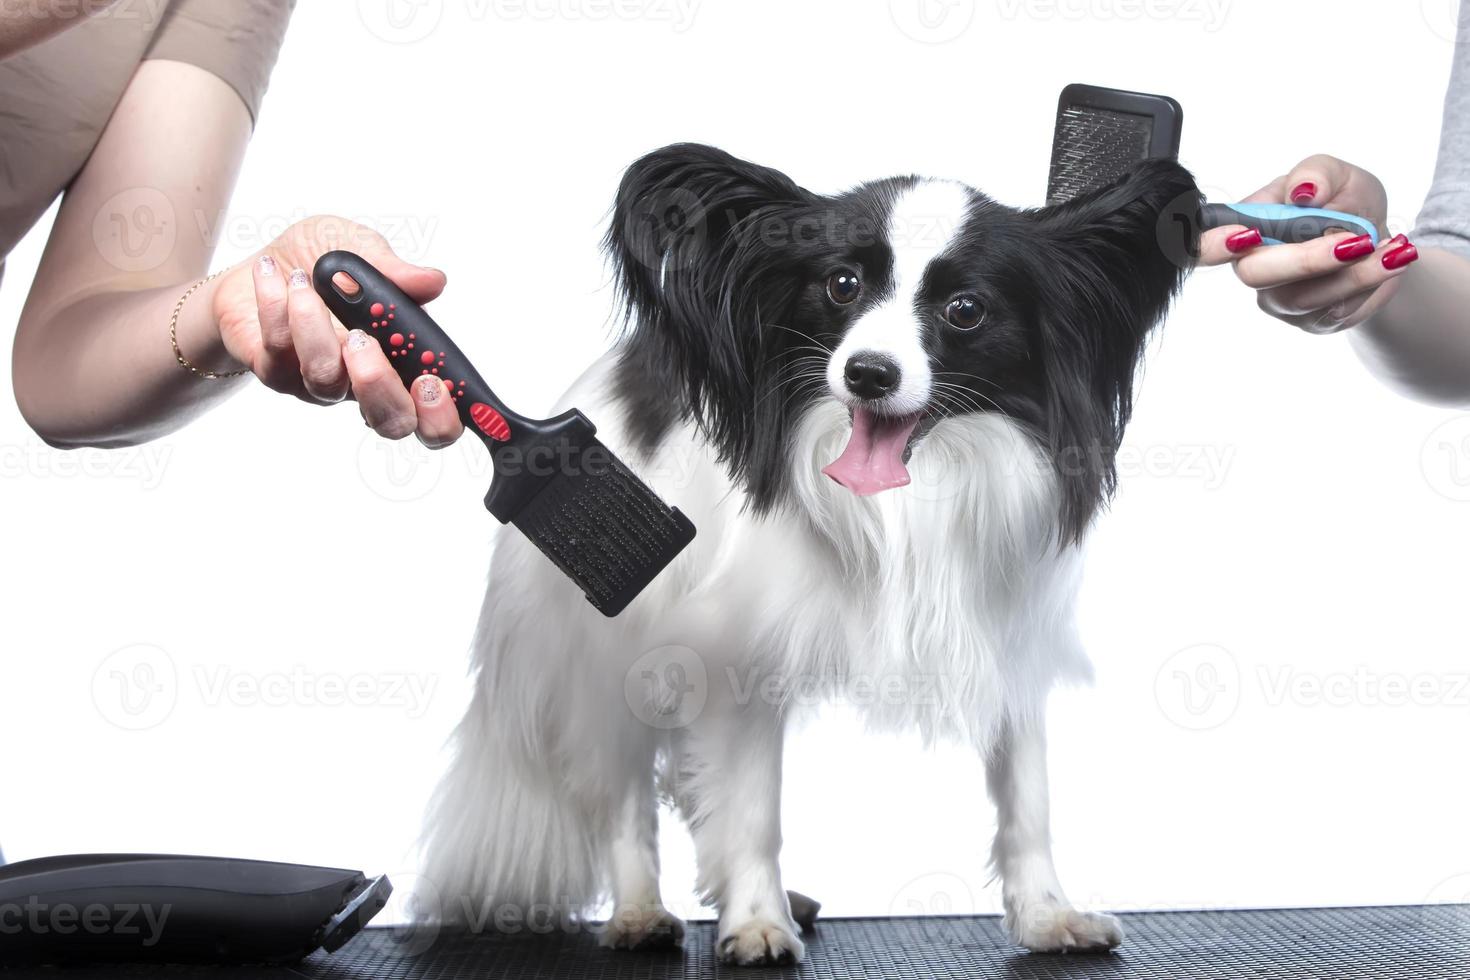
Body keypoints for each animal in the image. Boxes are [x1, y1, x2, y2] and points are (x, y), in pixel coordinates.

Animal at [420, 143, 1199, 963]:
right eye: (842, 285)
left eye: (965, 310)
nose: (868, 372)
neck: (915, 493)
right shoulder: (738, 658)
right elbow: (752, 807)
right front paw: (758, 922)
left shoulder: (1007, 639)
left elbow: (1029, 797)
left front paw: (1049, 916)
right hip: (606, 642)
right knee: (626, 794)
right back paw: (640, 912)